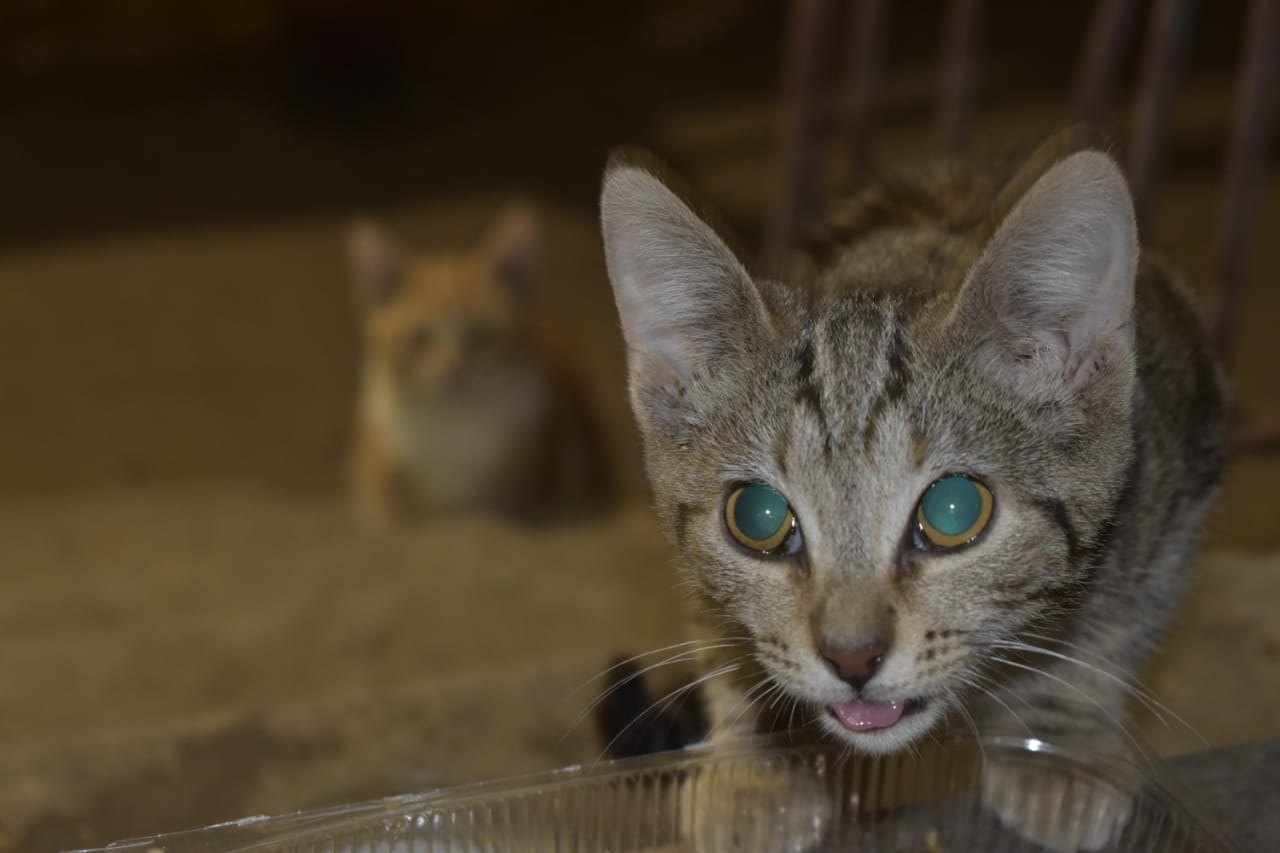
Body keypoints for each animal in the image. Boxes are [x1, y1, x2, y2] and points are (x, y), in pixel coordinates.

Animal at [347, 204, 611, 526]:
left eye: (482, 334)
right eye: (419, 338)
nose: (453, 371)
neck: (453, 423)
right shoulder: (376, 450)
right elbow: (382, 505)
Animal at [598, 133, 1226, 848]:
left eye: (954, 511)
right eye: (757, 517)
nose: (852, 658)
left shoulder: (1178, 463)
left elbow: (1120, 624)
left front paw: (1064, 729)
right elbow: (714, 623)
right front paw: (750, 762)